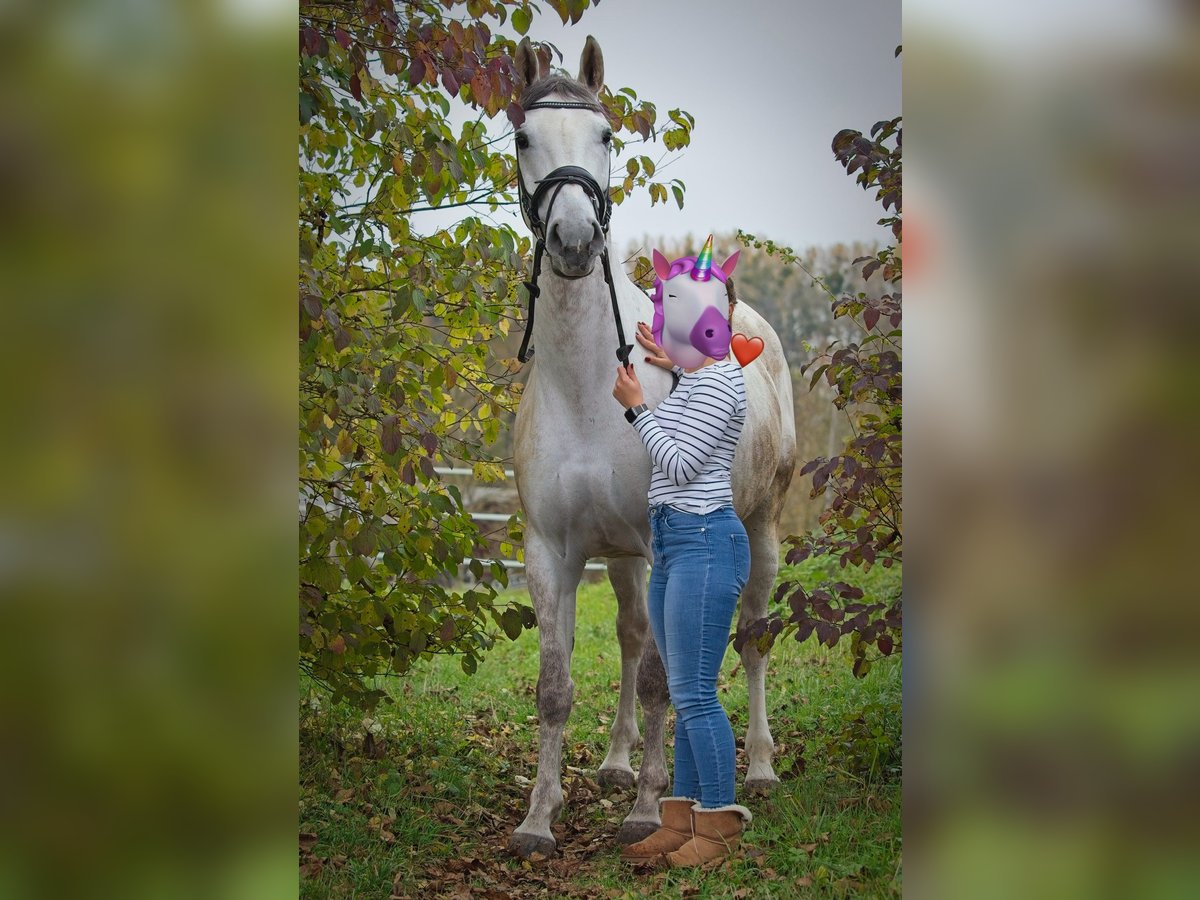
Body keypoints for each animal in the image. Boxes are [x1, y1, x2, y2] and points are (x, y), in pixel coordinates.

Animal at [506, 38, 796, 864]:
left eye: (604, 135)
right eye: (523, 138)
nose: (574, 242)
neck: (586, 387)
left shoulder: (666, 546)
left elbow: (666, 682)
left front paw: (644, 812)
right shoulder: (554, 552)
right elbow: (558, 686)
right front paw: (539, 819)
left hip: (761, 532)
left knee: (752, 641)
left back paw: (757, 769)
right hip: (622, 559)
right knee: (635, 638)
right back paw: (614, 760)